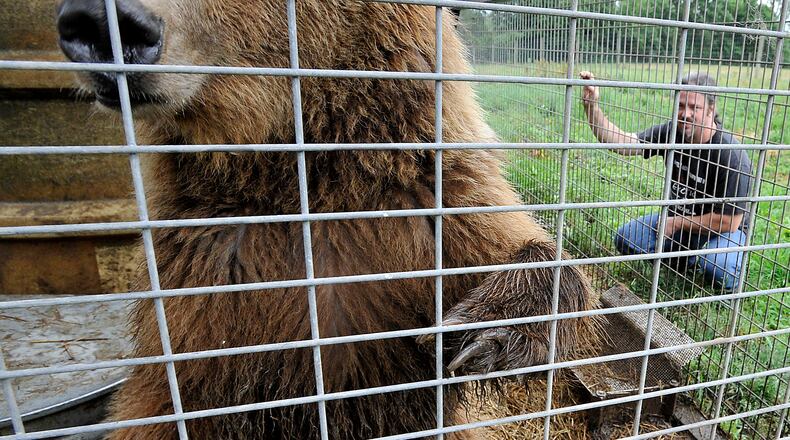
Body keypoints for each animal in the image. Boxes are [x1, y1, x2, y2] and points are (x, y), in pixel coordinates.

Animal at [55, 0, 597, 438]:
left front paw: (483, 336)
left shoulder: (432, 208)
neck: (304, 170)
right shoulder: (205, 257)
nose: (101, 21)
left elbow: (531, 252)